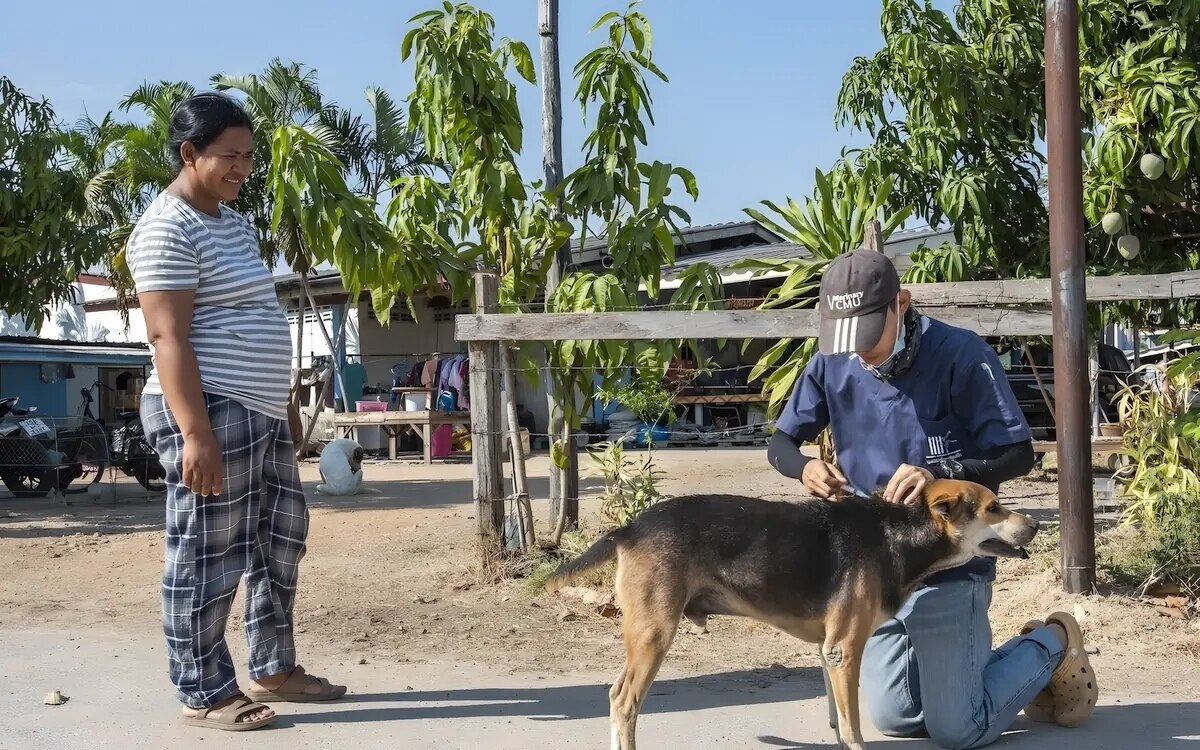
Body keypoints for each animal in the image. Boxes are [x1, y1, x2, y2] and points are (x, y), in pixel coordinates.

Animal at [547, 480, 1041, 748]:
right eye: (994, 507)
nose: (1036, 525)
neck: (898, 534)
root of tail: (630, 527)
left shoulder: (829, 652)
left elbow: (840, 720)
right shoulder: (844, 650)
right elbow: (852, 728)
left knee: (617, 697)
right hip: (654, 634)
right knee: (623, 702)